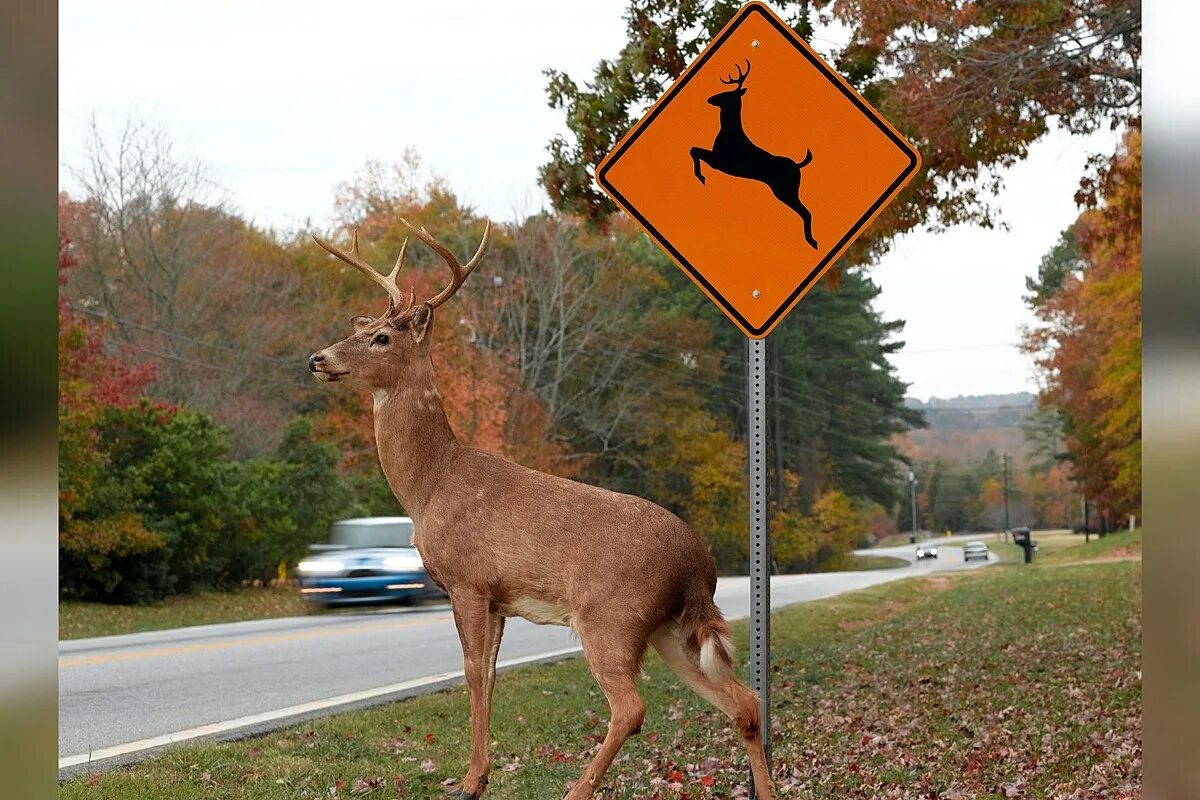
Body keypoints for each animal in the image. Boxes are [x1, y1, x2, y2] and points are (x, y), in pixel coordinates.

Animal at [304, 220, 782, 800]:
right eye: (365, 326)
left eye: (382, 337)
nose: (318, 358)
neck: (430, 485)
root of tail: (699, 565)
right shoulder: (499, 599)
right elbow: (489, 674)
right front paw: (480, 775)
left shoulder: (468, 581)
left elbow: (472, 672)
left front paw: (470, 781)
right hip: (671, 627)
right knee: (744, 701)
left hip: (612, 615)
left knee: (632, 708)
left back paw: (577, 789)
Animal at [691, 60, 820, 250]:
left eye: (727, 93)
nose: (710, 99)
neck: (729, 132)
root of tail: (798, 165)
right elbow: (694, 149)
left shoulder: (720, 162)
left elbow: (694, 150)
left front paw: (701, 177)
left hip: (785, 190)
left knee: (806, 212)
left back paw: (812, 242)